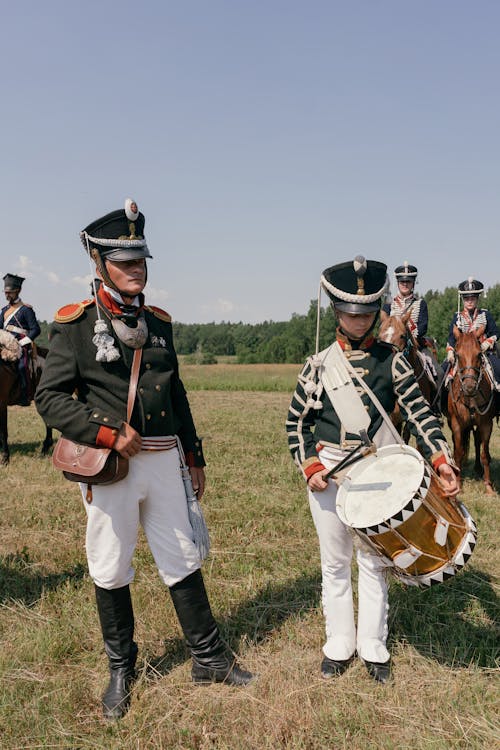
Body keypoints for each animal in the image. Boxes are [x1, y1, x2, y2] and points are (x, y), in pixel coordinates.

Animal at [448, 326, 494, 496]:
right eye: (457, 354)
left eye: (479, 354)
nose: (469, 387)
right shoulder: (456, 425)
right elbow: (459, 452)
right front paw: (458, 485)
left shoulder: (486, 424)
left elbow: (484, 454)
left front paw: (489, 487)